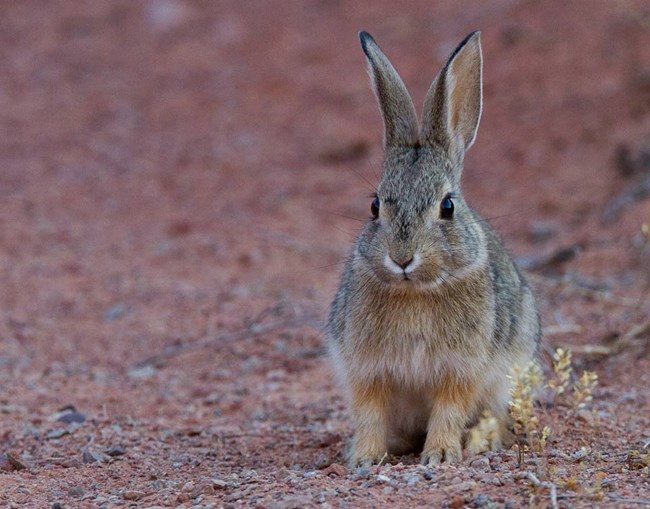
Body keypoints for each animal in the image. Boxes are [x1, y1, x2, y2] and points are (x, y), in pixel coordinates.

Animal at [324, 30, 540, 468]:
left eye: (448, 206)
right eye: (375, 206)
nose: (402, 258)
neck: (416, 291)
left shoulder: (460, 370)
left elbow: (449, 409)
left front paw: (440, 454)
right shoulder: (366, 370)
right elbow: (370, 412)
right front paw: (365, 458)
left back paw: (481, 442)